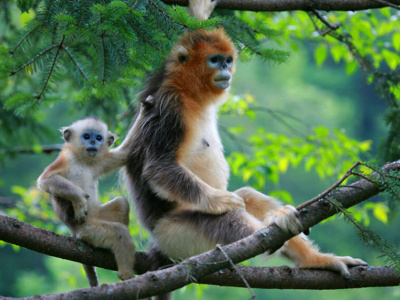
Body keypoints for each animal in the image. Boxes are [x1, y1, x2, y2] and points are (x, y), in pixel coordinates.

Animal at [37, 110, 144, 286]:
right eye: (86, 136)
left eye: (99, 137)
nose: (93, 142)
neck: (83, 160)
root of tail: (74, 231)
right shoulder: (66, 157)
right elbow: (45, 180)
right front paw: (79, 199)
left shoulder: (99, 161)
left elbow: (124, 153)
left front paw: (146, 106)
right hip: (88, 230)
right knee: (118, 232)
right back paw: (126, 276)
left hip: (97, 216)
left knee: (121, 204)